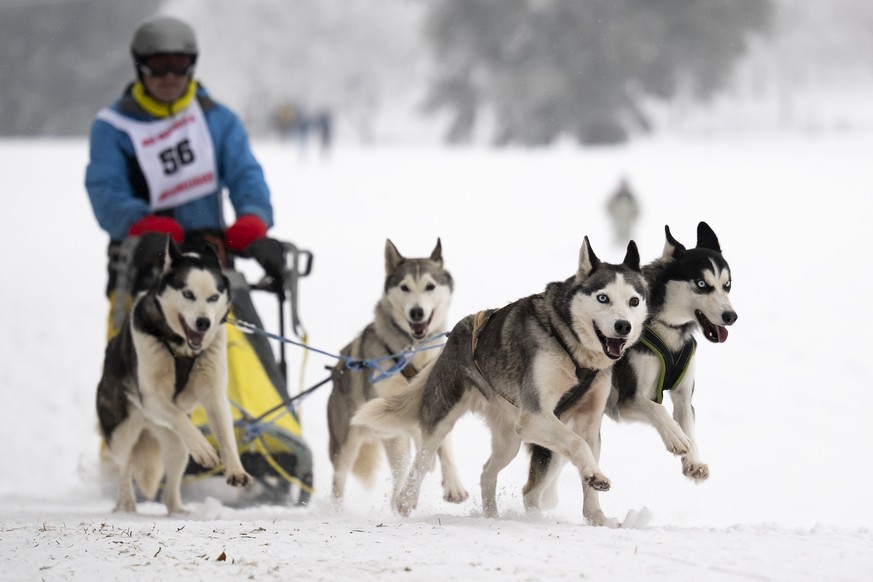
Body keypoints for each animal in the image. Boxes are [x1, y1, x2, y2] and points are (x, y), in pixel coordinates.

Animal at [97, 237, 250, 516]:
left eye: (213, 297)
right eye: (188, 294)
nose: (203, 323)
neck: (182, 349)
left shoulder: (214, 396)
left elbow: (225, 435)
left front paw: (235, 469)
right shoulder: (151, 398)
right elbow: (180, 418)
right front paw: (205, 450)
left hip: (176, 447)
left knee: (171, 482)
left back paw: (177, 509)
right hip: (123, 432)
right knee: (124, 467)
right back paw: (126, 505)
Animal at [350, 240, 644, 524]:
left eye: (634, 301)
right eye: (603, 298)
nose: (623, 326)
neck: (572, 346)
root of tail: (457, 330)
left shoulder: (588, 422)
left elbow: (587, 455)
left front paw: (596, 515)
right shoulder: (535, 416)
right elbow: (576, 443)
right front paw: (596, 480)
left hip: (509, 440)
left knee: (487, 473)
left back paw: (492, 515)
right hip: (444, 417)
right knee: (423, 459)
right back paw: (406, 500)